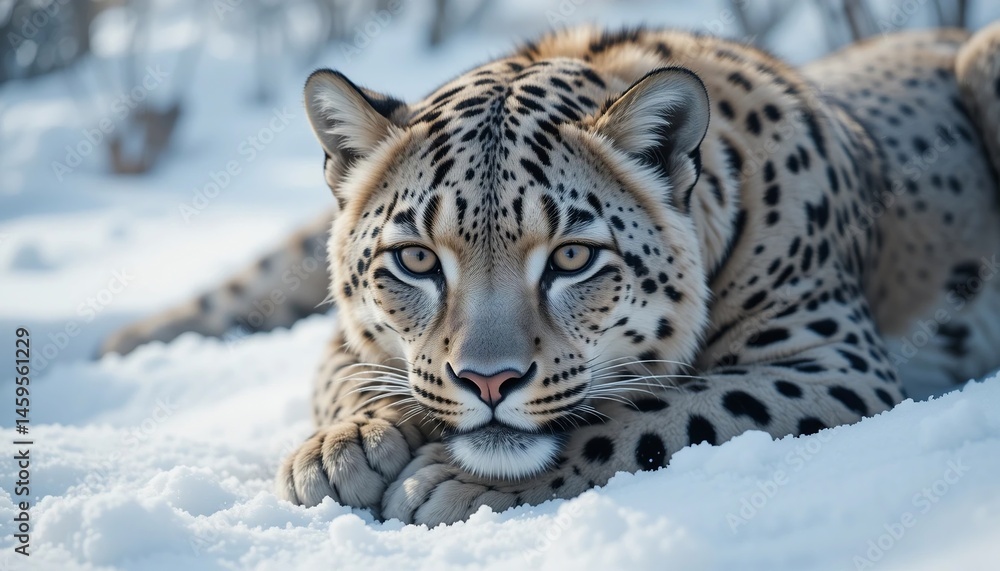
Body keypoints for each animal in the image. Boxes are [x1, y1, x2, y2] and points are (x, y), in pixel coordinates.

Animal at [101, 23, 1000, 526]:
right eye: (417, 259)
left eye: (572, 257)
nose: (488, 380)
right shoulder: (343, 333)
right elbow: (346, 374)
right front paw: (338, 448)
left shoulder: (833, 362)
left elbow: (663, 412)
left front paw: (451, 481)